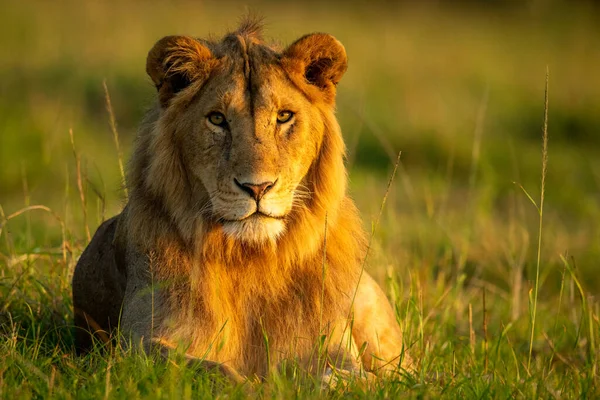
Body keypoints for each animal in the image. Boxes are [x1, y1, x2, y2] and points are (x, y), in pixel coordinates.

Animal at [69, 20, 408, 382]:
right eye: (217, 119)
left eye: (284, 116)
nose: (257, 187)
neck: (252, 258)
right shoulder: (135, 345)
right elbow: (215, 373)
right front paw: (258, 386)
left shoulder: (333, 346)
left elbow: (358, 379)